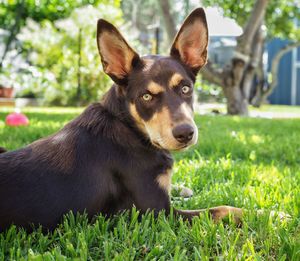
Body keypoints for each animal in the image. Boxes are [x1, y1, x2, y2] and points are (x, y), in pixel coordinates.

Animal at [0, 8, 241, 231]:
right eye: (146, 96)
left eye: (185, 88)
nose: (185, 133)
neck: (131, 130)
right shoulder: (159, 213)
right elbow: (222, 210)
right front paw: (248, 213)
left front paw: (185, 188)